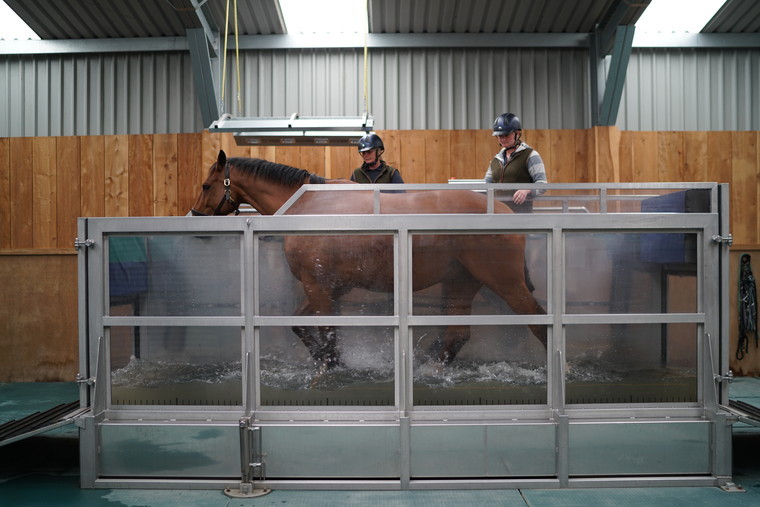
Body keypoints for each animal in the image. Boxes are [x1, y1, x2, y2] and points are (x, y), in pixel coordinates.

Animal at [191, 150, 548, 370]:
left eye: (206, 185)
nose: (195, 218)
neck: (307, 206)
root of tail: (503, 211)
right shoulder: (328, 288)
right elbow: (299, 325)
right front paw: (328, 359)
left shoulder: (319, 288)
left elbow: (327, 331)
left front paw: (331, 364)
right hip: (461, 282)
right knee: (457, 335)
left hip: (505, 283)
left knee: (538, 322)